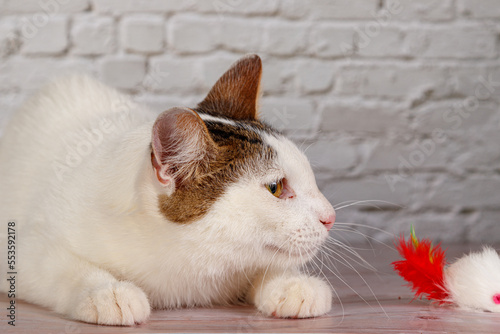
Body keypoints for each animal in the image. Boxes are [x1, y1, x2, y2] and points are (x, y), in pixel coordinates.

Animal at [0, 55, 336, 326]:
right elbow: (57, 265)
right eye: (275, 188)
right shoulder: (23, 248)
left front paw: (291, 283)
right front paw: (107, 291)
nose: (330, 217)